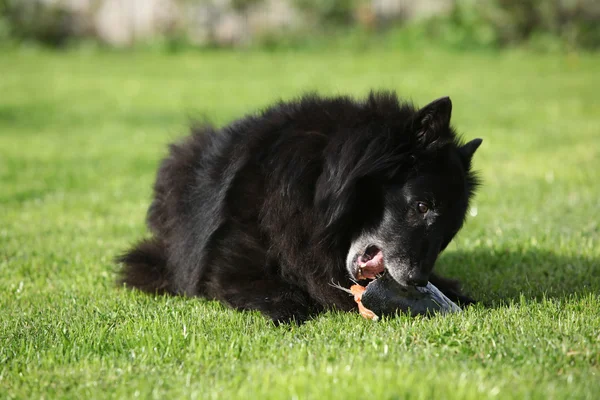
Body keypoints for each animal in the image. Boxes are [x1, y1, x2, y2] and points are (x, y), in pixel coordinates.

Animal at [118, 91, 482, 322]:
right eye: (421, 206)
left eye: (447, 234)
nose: (418, 281)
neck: (314, 186)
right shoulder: (226, 268)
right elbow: (285, 299)